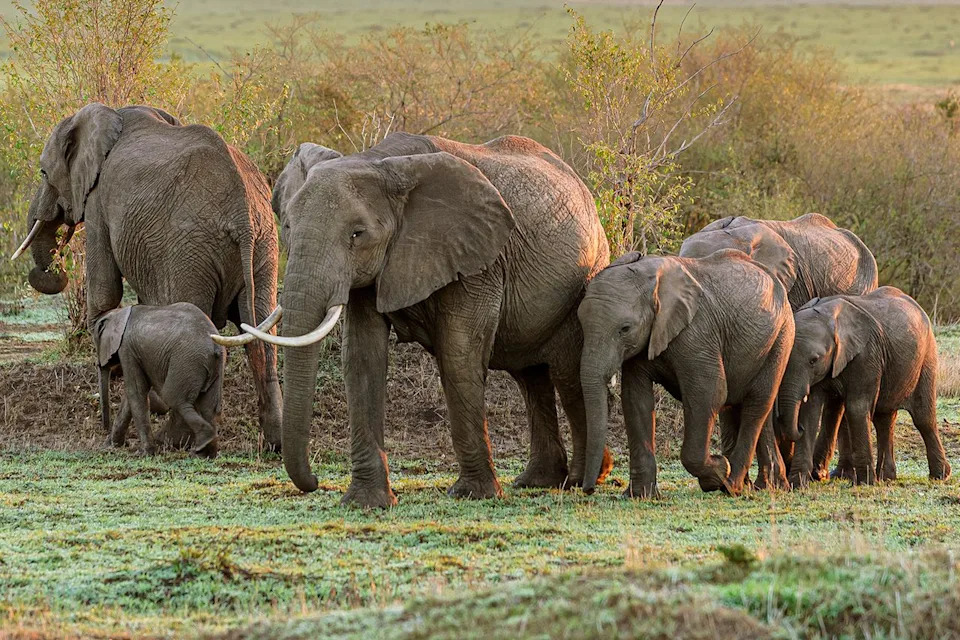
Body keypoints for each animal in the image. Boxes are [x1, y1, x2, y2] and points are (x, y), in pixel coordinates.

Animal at [93, 302, 225, 457]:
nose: (104, 429)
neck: (119, 312)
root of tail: (214, 346)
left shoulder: (126, 348)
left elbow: (135, 391)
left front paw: (145, 453)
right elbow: (130, 396)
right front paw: (111, 446)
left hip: (187, 361)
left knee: (174, 399)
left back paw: (203, 441)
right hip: (214, 366)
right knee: (208, 407)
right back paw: (205, 454)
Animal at [225, 132, 612, 507]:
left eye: (357, 234)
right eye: (288, 226)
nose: (316, 482)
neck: (378, 161)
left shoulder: (476, 258)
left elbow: (458, 353)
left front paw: (473, 494)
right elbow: (362, 357)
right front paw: (367, 503)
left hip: (584, 281)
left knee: (566, 373)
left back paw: (585, 479)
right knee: (530, 377)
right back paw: (538, 481)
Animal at [578, 249, 795, 498]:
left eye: (625, 329)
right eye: (581, 324)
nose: (589, 489)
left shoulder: (697, 333)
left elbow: (709, 393)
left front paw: (717, 473)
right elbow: (636, 400)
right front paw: (640, 495)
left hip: (782, 337)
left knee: (757, 403)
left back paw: (732, 485)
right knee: (756, 408)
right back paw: (769, 486)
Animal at [774, 287, 950, 485]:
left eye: (814, 360)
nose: (799, 428)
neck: (830, 317)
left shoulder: (866, 355)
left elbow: (856, 408)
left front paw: (865, 483)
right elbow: (811, 409)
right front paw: (798, 484)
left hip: (926, 358)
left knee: (923, 417)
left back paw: (939, 476)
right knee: (884, 419)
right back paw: (886, 478)